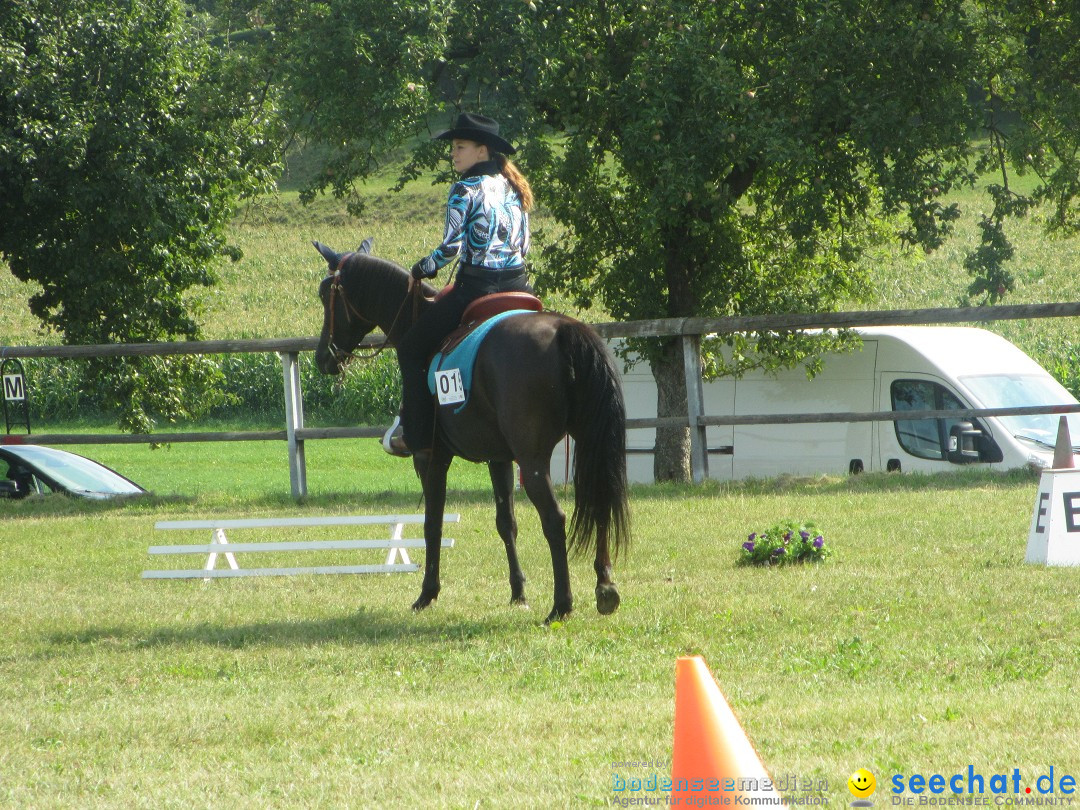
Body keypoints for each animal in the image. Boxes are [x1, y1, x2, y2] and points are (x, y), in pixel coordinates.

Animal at [313, 237, 630, 626]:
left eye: (326, 294)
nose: (323, 357)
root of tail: (565, 330)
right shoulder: (499, 458)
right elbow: (506, 522)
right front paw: (518, 593)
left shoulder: (430, 457)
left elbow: (432, 524)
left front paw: (427, 593)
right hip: (589, 444)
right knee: (600, 503)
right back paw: (605, 587)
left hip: (533, 461)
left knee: (554, 520)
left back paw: (561, 605)